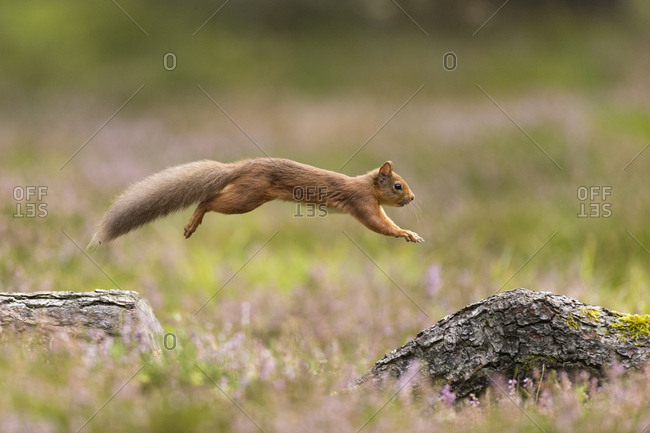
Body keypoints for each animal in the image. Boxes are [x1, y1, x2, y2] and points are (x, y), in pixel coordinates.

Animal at [89, 158, 424, 246]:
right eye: (398, 185)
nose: (412, 197)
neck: (366, 184)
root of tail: (241, 166)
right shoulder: (363, 203)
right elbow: (381, 225)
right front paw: (406, 233)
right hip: (246, 197)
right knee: (208, 200)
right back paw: (193, 222)